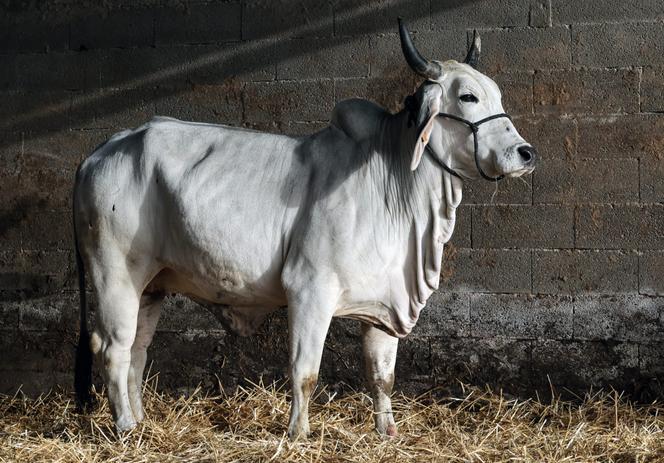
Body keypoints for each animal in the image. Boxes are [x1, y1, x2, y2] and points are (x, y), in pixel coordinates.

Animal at [73, 20, 537, 439]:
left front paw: (386, 431)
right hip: (115, 273)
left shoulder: (384, 302)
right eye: (468, 96)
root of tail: (106, 147)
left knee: (137, 351)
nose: (525, 153)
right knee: (113, 348)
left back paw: (143, 424)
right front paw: (298, 432)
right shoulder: (309, 289)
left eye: (496, 93)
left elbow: (382, 376)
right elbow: (305, 371)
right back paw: (126, 427)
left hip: (151, 284)